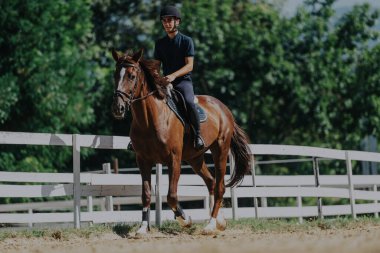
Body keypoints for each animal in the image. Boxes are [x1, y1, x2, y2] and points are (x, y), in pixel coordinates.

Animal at [110, 48, 252, 234]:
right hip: (195, 159)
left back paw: (211, 224)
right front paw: (142, 228)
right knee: (211, 182)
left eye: (131, 76)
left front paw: (185, 220)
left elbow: (171, 196)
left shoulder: (174, 159)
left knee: (220, 186)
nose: (117, 108)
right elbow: (146, 194)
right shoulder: (143, 160)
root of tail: (223, 108)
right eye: (115, 75)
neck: (150, 120)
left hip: (220, 150)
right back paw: (220, 221)